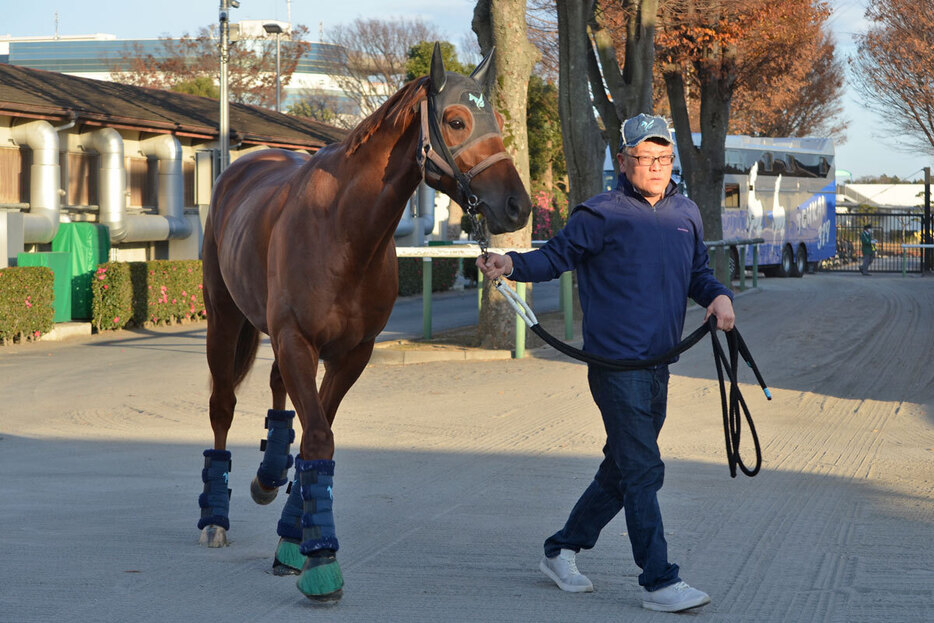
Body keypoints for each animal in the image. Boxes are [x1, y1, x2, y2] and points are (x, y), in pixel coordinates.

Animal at [198, 45, 532, 604]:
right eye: (456, 120)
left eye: (501, 123)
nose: (517, 206)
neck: (341, 228)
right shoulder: (297, 340)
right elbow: (318, 438)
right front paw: (321, 564)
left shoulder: (351, 353)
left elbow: (318, 434)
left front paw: (295, 542)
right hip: (224, 320)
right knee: (222, 406)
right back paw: (215, 521)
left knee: (277, 391)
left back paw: (269, 476)